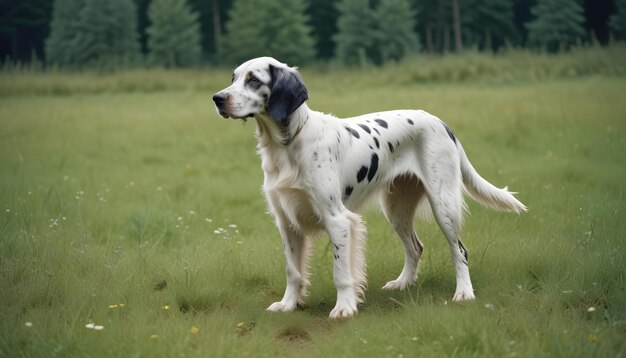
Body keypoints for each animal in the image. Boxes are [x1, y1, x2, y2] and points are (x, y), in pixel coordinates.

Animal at [212, 56, 524, 318]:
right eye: (234, 77)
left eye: (254, 79)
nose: (217, 98)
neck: (288, 146)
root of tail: (441, 123)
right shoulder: (287, 222)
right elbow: (293, 271)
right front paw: (288, 304)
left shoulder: (337, 219)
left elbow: (341, 272)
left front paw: (344, 308)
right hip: (396, 208)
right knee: (415, 247)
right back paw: (402, 284)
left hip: (442, 203)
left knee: (459, 250)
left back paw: (464, 292)